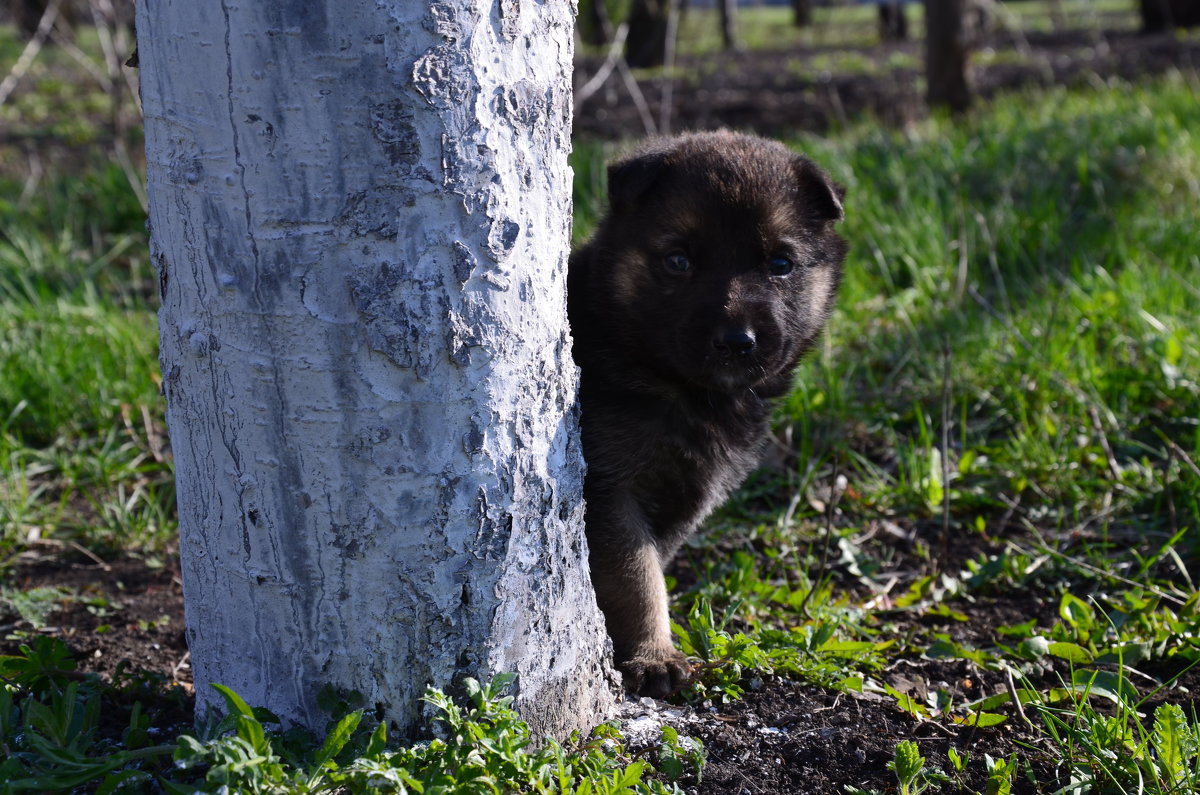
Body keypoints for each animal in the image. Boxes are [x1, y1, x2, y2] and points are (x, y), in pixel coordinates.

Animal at [568, 130, 844, 696]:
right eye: (678, 261)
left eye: (780, 264)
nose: (737, 342)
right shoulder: (609, 487)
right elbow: (636, 576)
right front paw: (654, 656)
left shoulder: (688, 495)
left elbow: (650, 566)